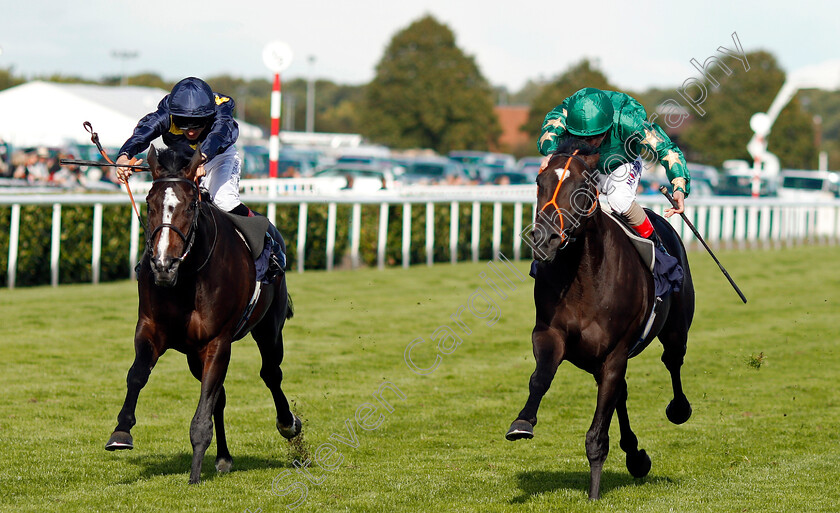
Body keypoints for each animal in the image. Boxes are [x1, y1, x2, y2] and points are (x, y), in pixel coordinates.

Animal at [105, 145, 302, 484]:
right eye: (150, 203)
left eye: (188, 207)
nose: (163, 264)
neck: (186, 278)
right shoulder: (151, 329)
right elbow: (137, 375)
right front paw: (121, 431)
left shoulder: (217, 341)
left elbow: (204, 407)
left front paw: (195, 474)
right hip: (193, 353)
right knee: (220, 396)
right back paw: (223, 457)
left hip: (268, 328)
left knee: (270, 373)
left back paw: (288, 424)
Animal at [506, 140, 696, 496]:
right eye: (539, 183)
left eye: (582, 186)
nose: (545, 239)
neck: (583, 276)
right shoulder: (551, 334)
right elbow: (541, 377)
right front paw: (522, 423)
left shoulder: (615, 353)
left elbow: (598, 434)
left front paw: (594, 495)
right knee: (622, 392)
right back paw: (636, 456)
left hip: (676, 327)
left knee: (672, 360)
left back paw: (678, 411)